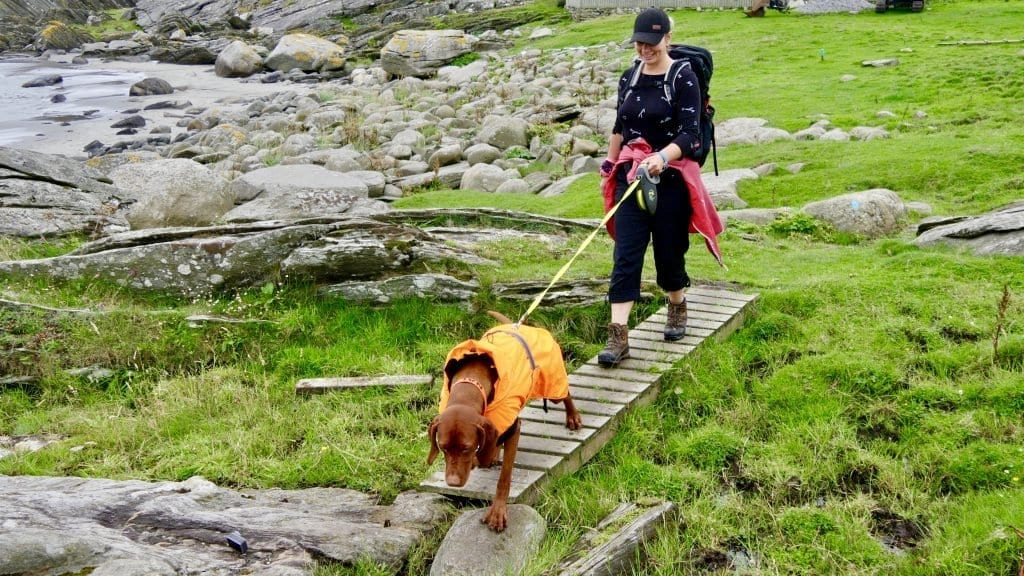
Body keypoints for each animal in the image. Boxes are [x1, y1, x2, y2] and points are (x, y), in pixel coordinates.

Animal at [425, 311, 585, 532]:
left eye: (466, 448)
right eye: (443, 448)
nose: (453, 483)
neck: (471, 383)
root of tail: (519, 325)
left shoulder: (512, 430)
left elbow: (505, 477)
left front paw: (498, 512)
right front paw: (485, 457)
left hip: (551, 384)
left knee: (565, 392)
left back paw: (573, 416)